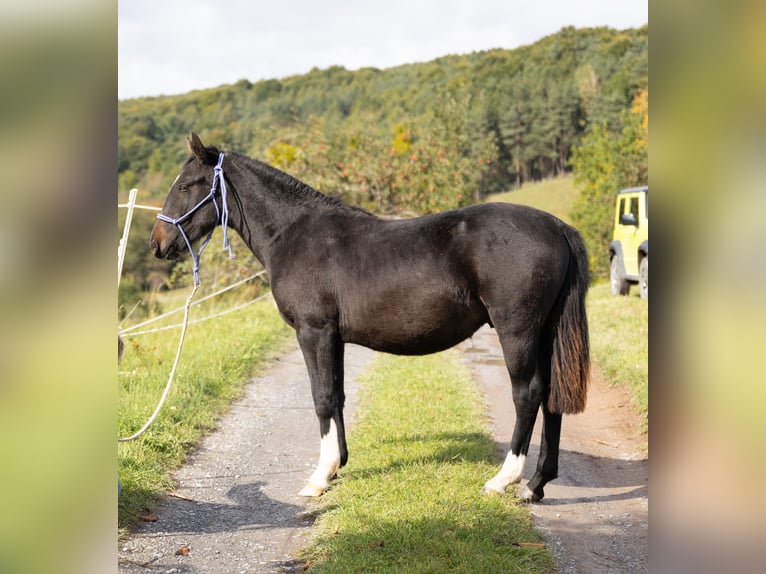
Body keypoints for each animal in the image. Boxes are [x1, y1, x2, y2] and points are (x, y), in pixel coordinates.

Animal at [150, 133, 590, 502]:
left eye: (186, 185)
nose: (158, 244)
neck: (294, 233)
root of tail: (556, 226)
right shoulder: (335, 337)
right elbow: (338, 395)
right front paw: (337, 467)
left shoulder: (314, 332)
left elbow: (322, 397)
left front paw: (319, 477)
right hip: (545, 333)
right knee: (551, 396)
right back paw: (535, 485)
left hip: (517, 331)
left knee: (528, 394)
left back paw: (504, 479)